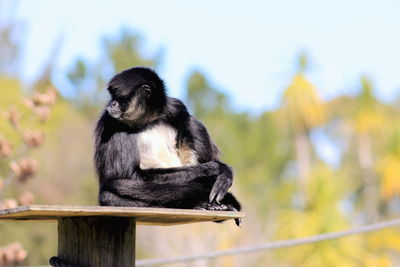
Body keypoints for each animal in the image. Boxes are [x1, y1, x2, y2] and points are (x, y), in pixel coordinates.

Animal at [95, 66, 242, 226]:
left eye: (119, 98)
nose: (111, 104)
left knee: (191, 123)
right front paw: (215, 169)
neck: (148, 120)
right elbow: (128, 176)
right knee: (109, 195)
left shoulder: (176, 106)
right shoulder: (112, 123)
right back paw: (199, 203)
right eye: (113, 97)